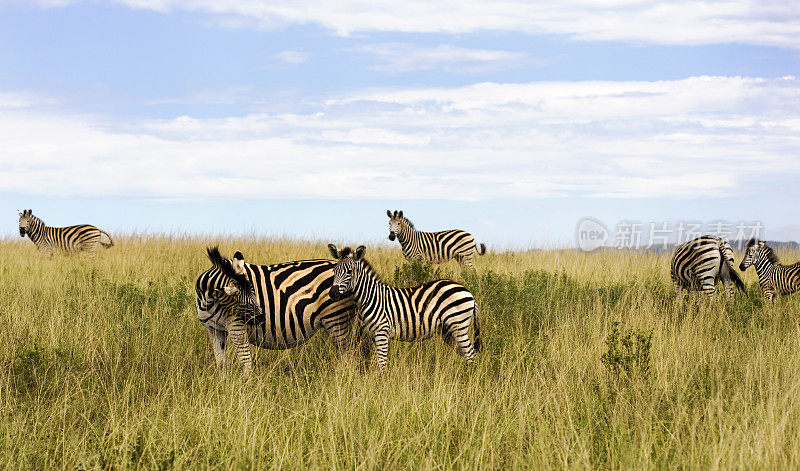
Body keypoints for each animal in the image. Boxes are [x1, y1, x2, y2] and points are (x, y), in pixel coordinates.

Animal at [197, 247, 356, 380]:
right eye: (236, 297)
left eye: (253, 291)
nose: (261, 317)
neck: (209, 301)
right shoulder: (214, 329)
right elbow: (220, 362)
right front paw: (222, 384)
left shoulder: (237, 325)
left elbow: (245, 360)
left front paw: (244, 386)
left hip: (337, 318)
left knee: (347, 353)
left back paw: (341, 379)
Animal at [326, 243, 482, 372]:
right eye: (334, 270)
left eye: (349, 272)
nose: (333, 293)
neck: (370, 298)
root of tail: (468, 291)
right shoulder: (371, 335)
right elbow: (377, 362)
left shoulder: (381, 333)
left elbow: (381, 364)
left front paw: (381, 385)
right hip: (448, 331)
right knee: (466, 353)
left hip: (458, 326)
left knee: (471, 354)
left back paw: (470, 376)